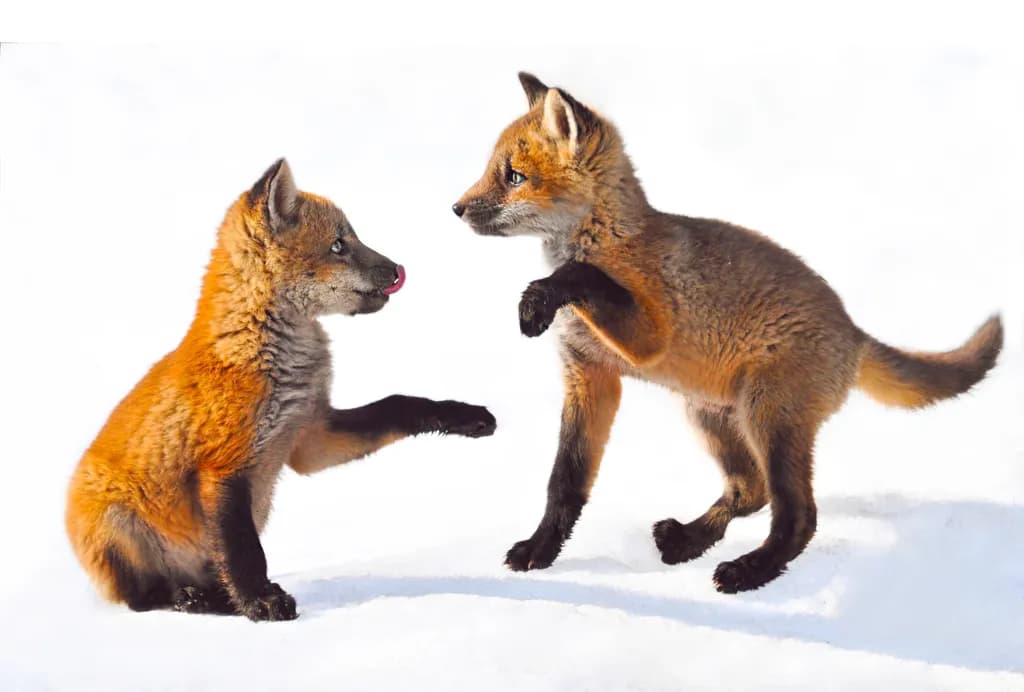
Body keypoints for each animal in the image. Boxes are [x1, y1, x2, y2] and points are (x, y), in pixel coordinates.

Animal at [67, 159, 497, 620]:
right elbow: (246, 553)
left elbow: (399, 404)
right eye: (338, 246)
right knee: (142, 598)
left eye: (351, 239)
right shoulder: (225, 466)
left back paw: (219, 600)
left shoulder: (310, 436)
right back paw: (191, 599)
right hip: (117, 524)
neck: (273, 360)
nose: (399, 270)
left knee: (209, 580)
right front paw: (263, 601)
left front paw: (465, 416)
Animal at [454, 73, 1003, 593]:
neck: (606, 239)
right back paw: (690, 539)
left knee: (798, 516)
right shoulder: (589, 376)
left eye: (514, 177)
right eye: (495, 170)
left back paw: (749, 571)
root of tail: (853, 330)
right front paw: (541, 549)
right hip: (709, 415)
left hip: (767, 418)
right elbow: (564, 485)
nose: (455, 208)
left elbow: (582, 275)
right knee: (750, 491)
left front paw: (537, 298)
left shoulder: (649, 337)